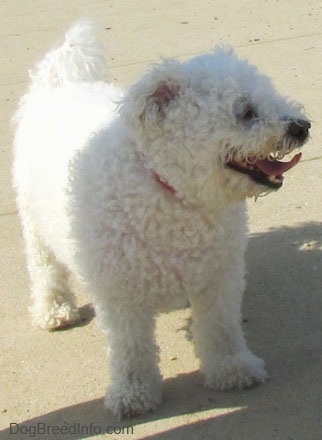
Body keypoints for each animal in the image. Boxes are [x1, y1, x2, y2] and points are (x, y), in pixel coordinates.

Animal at [12, 21, 310, 420]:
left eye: (272, 97)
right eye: (245, 111)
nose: (302, 126)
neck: (172, 193)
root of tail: (61, 82)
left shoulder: (220, 277)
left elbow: (220, 329)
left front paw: (232, 368)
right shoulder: (120, 294)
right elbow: (131, 348)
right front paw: (133, 393)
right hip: (33, 221)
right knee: (45, 267)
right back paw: (55, 309)